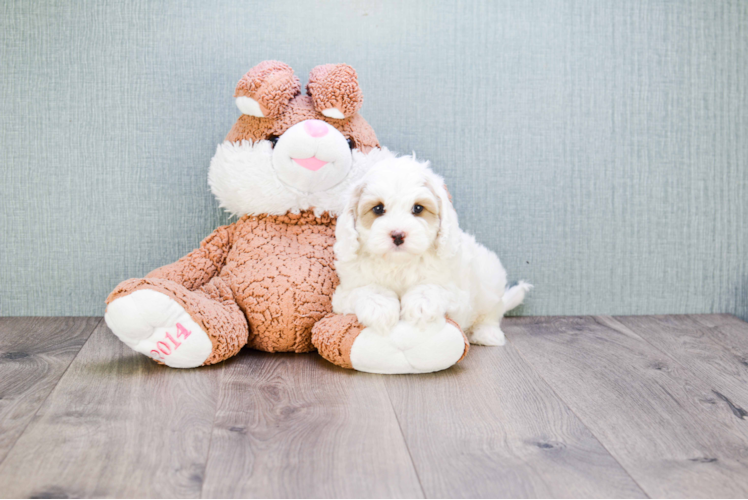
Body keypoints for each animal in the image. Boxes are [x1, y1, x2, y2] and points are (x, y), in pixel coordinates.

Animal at [334, 155, 532, 344]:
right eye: (378, 209)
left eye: (418, 208)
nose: (398, 235)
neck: (399, 264)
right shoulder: (344, 293)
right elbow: (367, 289)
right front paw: (380, 307)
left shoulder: (457, 295)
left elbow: (432, 287)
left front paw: (421, 304)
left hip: (489, 277)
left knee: (492, 312)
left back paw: (487, 333)